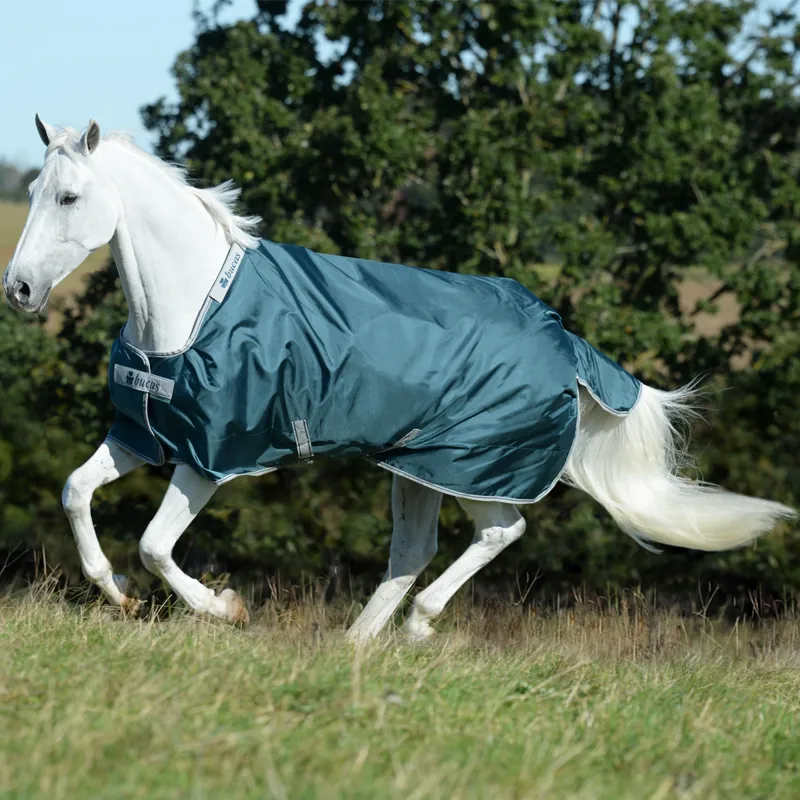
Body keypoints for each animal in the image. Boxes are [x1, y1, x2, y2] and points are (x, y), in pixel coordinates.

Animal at [3, 116, 795, 642]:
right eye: (34, 188)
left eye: (70, 197)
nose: (19, 290)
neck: (194, 305)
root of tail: (563, 340)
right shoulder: (145, 435)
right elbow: (75, 493)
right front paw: (119, 595)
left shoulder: (211, 457)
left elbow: (155, 545)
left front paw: (225, 607)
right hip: (417, 468)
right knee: (413, 551)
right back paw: (354, 649)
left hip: (475, 467)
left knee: (501, 531)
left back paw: (416, 627)